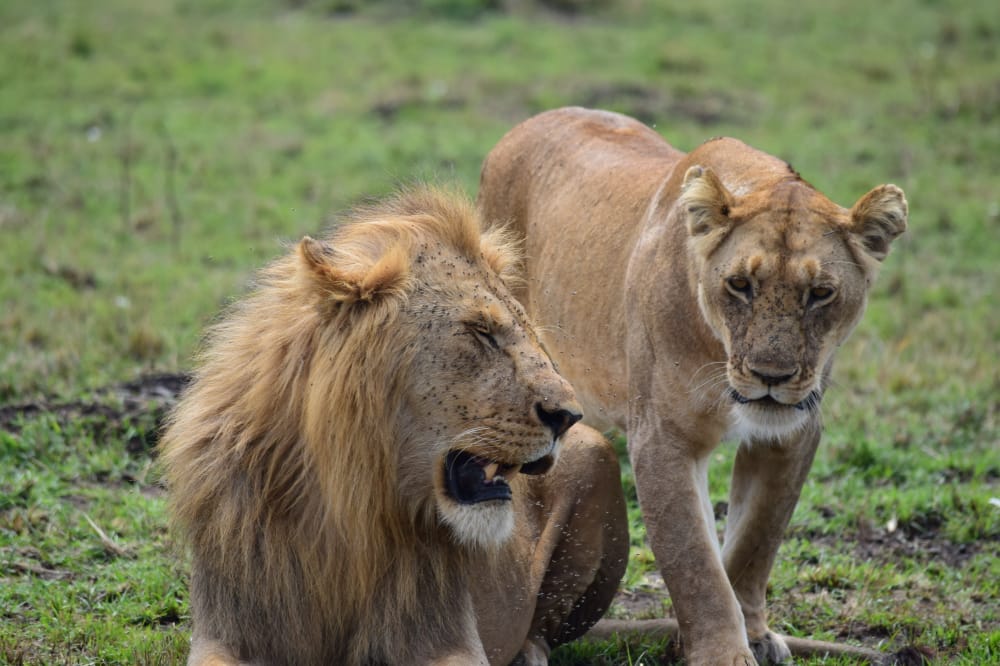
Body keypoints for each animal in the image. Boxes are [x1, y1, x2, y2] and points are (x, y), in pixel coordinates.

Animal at [158, 186, 628, 666]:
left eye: (528, 332)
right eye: (480, 331)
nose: (568, 415)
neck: (343, 504)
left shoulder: (448, 637)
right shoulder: (227, 628)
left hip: (595, 458)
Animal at [477, 107, 907, 666]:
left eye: (820, 293)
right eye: (740, 286)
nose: (771, 376)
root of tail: (524, 125)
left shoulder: (792, 433)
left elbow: (753, 542)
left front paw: (754, 634)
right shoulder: (663, 438)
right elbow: (695, 562)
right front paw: (722, 652)